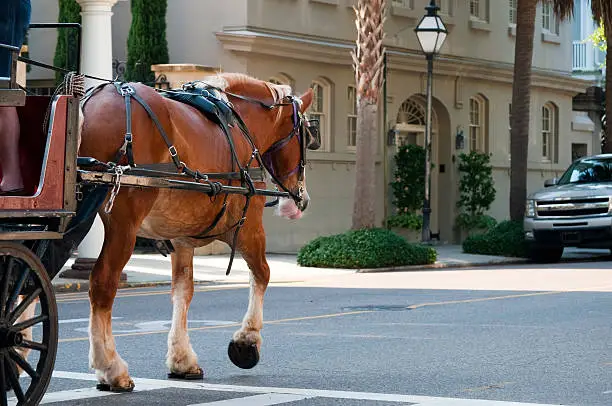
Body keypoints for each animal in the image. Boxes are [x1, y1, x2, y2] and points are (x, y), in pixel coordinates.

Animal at [73, 71, 316, 392]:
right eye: (307, 137)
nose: (301, 198)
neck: (241, 128)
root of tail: (93, 102)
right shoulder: (248, 226)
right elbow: (262, 274)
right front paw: (247, 341)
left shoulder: (181, 239)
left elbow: (183, 291)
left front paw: (181, 358)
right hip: (123, 222)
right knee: (103, 284)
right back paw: (110, 367)